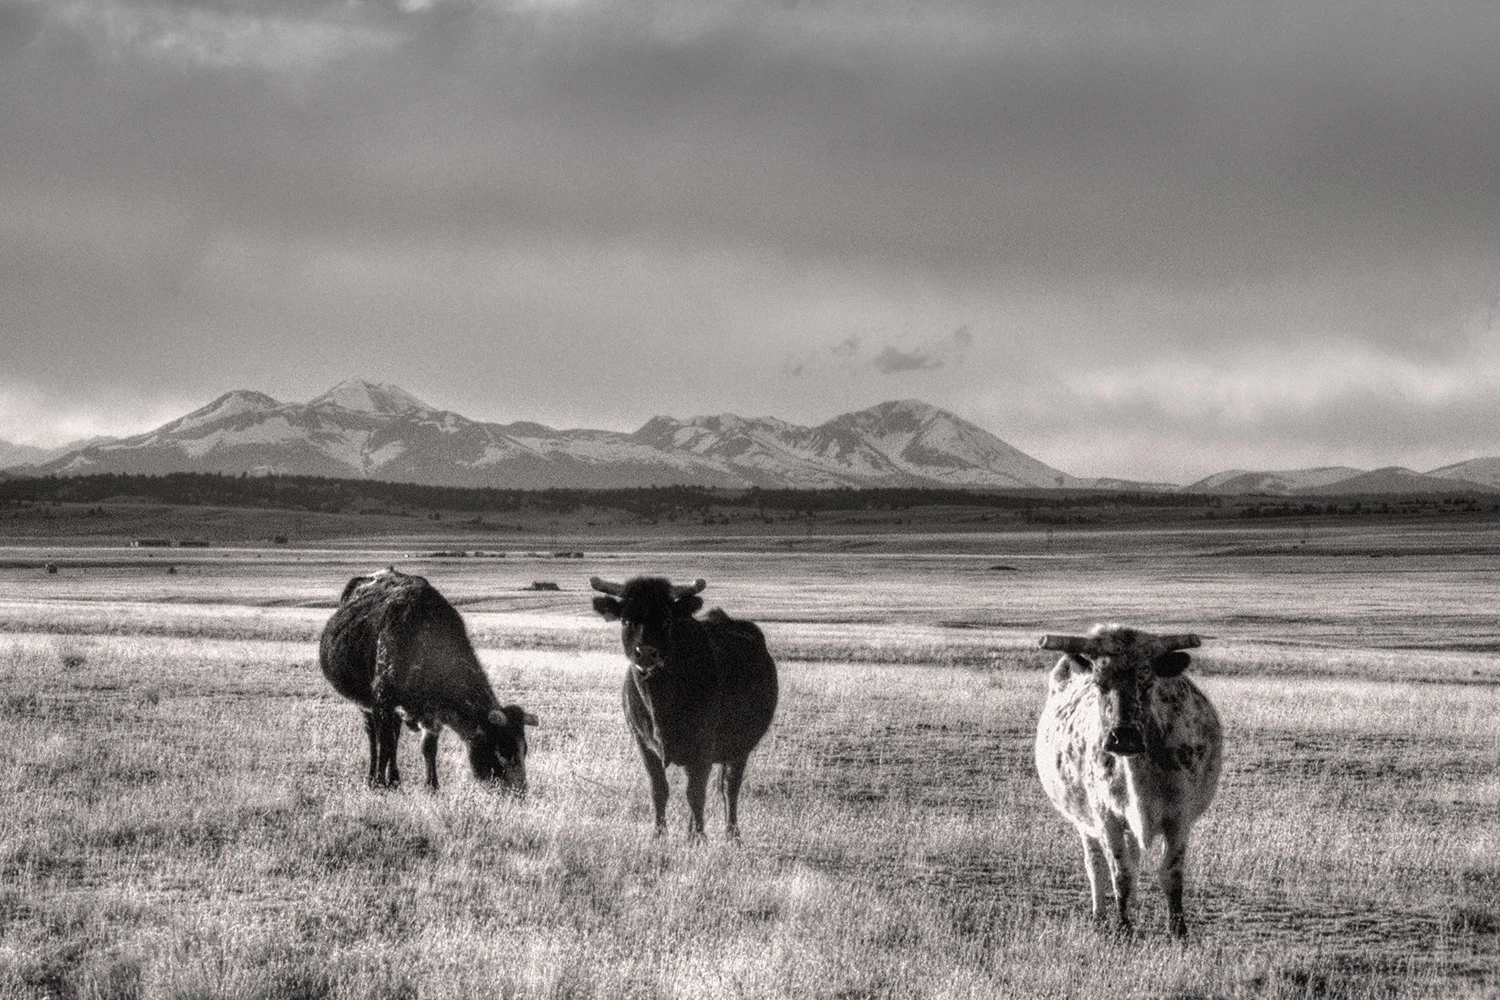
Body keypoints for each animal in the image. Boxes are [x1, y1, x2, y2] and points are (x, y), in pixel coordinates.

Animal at [319, 568, 538, 793]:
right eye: (502, 750)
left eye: (524, 750)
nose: (520, 792)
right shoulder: (382, 703)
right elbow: (384, 744)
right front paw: (379, 783)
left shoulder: (432, 714)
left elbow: (428, 748)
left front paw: (432, 785)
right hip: (367, 705)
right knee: (374, 737)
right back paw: (373, 778)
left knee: (394, 736)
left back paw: (395, 779)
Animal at [589, 575, 778, 839]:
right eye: (626, 620)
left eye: (667, 620)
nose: (645, 654)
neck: (660, 703)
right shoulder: (643, 743)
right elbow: (659, 789)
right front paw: (660, 835)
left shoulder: (704, 745)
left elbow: (696, 794)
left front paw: (699, 838)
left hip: (740, 747)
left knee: (730, 787)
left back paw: (732, 834)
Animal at [1034, 624, 1222, 939]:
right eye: (1099, 682)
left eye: (1146, 677)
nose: (1124, 737)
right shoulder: (1105, 817)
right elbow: (1120, 872)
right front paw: (1123, 926)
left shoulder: (1180, 818)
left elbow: (1171, 873)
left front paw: (1178, 929)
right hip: (1084, 820)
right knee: (1096, 864)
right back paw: (1100, 915)